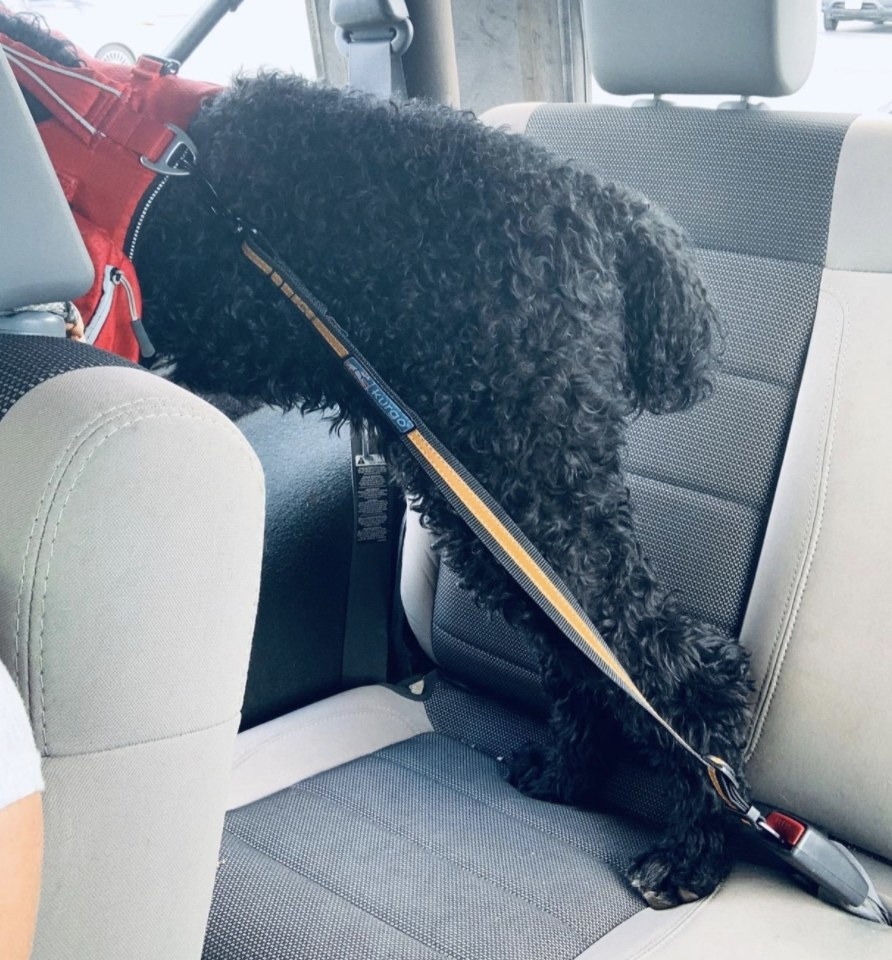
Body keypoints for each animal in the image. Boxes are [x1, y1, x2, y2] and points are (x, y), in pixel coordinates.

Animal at [6, 9, 752, 908]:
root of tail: (608, 206)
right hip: (484, 490)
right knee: (576, 642)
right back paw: (566, 771)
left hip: (521, 466)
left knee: (667, 660)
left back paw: (694, 842)